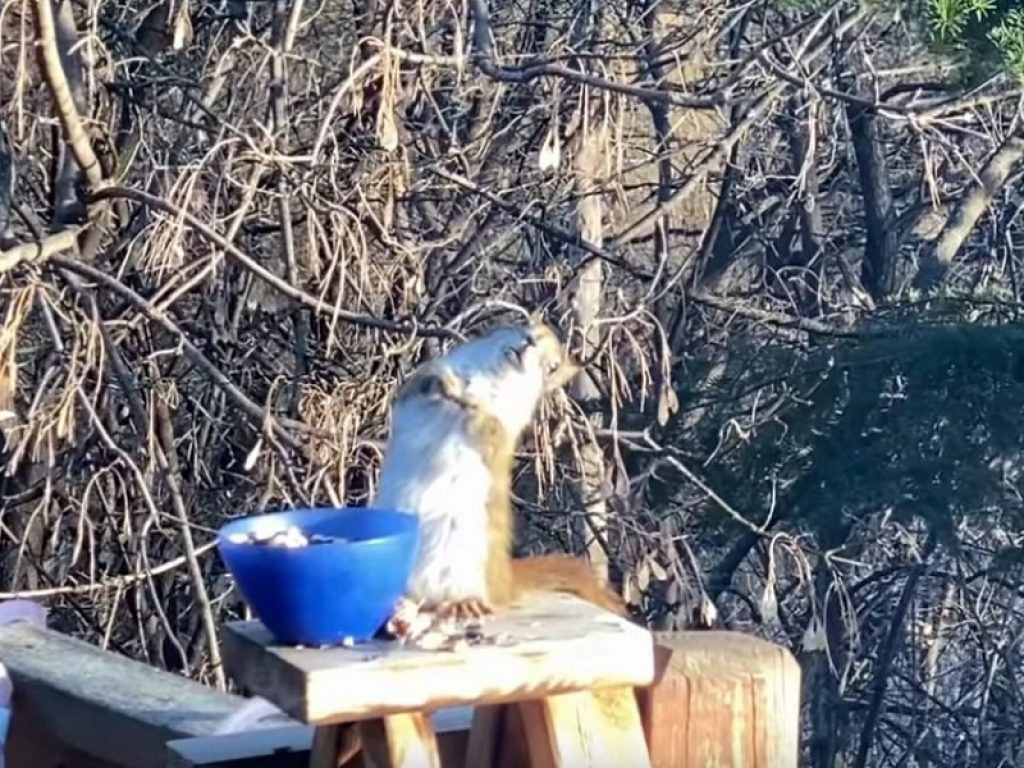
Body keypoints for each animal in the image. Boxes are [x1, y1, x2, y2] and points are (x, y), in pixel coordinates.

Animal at [373, 316, 625, 620]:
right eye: (526, 327)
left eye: (552, 367)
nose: (528, 343)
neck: (490, 378)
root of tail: (504, 584)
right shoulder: (419, 388)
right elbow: (422, 384)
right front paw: (444, 384)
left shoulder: (507, 426)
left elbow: (492, 433)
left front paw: (478, 412)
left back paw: (463, 604)